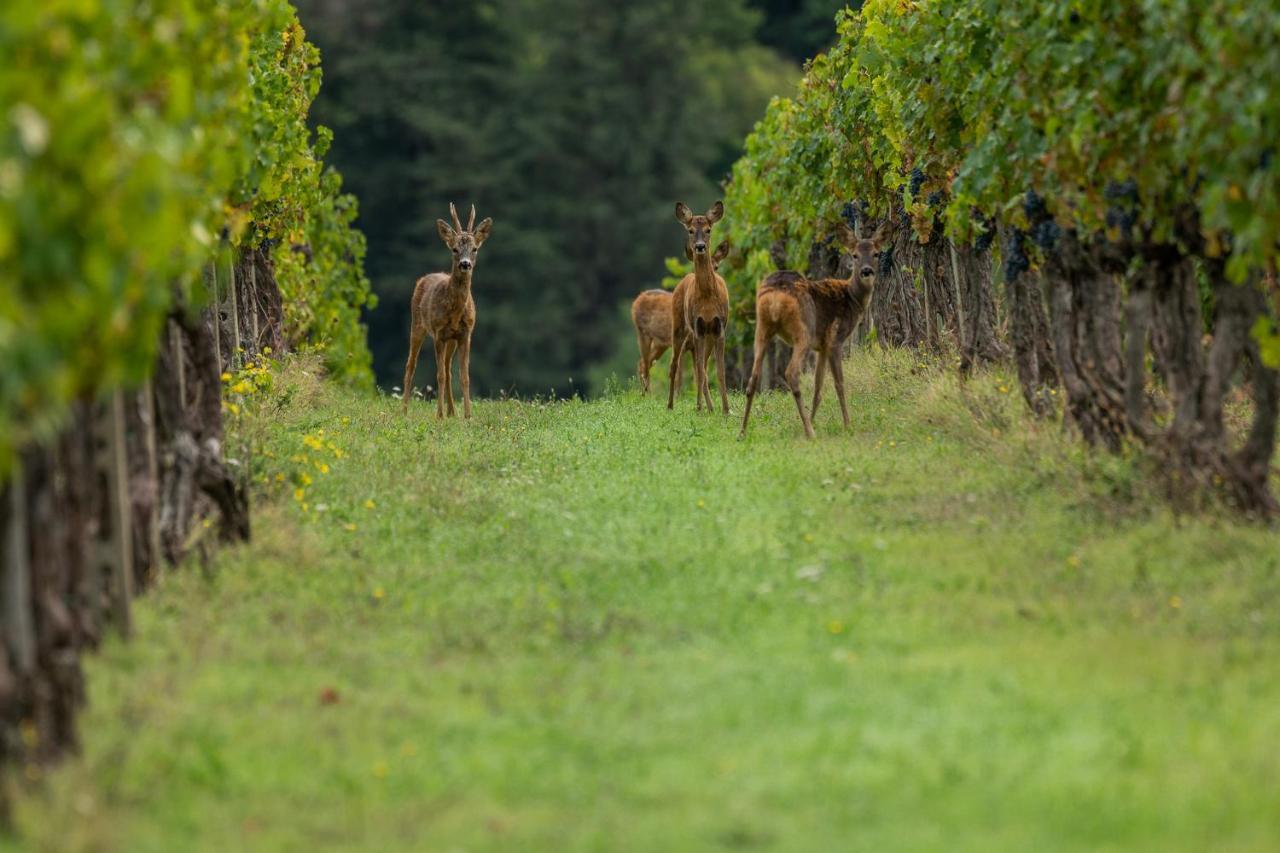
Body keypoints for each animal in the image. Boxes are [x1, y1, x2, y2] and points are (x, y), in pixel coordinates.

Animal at [401, 206, 491, 417]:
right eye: (454, 249)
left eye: (475, 248)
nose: (465, 264)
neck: (456, 313)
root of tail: (423, 279)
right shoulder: (438, 333)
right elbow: (439, 375)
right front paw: (439, 415)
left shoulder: (465, 334)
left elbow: (464, 376)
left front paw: (467, 416)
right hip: (417, 325)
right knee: (411, 365)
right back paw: (404, 410)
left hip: (452, 340)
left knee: (449, 369)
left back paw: (452, 412)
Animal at [632, 240, 732, 394]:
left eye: (717, 266)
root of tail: (637, 300)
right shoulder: (685, 345)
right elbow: (681, 375)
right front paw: (679, 395)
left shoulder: (694, 345)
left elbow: (699, 373)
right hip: (643, 334)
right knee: (644, 363)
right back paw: (647, 394)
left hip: (660, 343)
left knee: (644, 362)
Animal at [670, 199, 732, 412]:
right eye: (690, 230)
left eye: (708, 229)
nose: (699, 246)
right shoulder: (697, 326)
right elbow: (698, 370)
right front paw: (698, 408)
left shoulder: (719, 327)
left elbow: (719, 371)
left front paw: (726, 409)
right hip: (679, 326)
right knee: (675, 364)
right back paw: (671, 405)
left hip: (709, 336)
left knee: (703, 367)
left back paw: (711, 407)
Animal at [742, 219, 890, 438]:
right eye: (854, 255)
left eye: (877, 253)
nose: (866, 271)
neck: (852, 299)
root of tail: (776, 294)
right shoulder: (835, 339)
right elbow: (839, 383)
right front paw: (847, 425)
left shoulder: (822, 346)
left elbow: (818, 387)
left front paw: (812, 419)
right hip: (803, 330)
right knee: (791, 373)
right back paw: (810, 433)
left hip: (761, 328)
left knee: (753, 377)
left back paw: (742, 431)